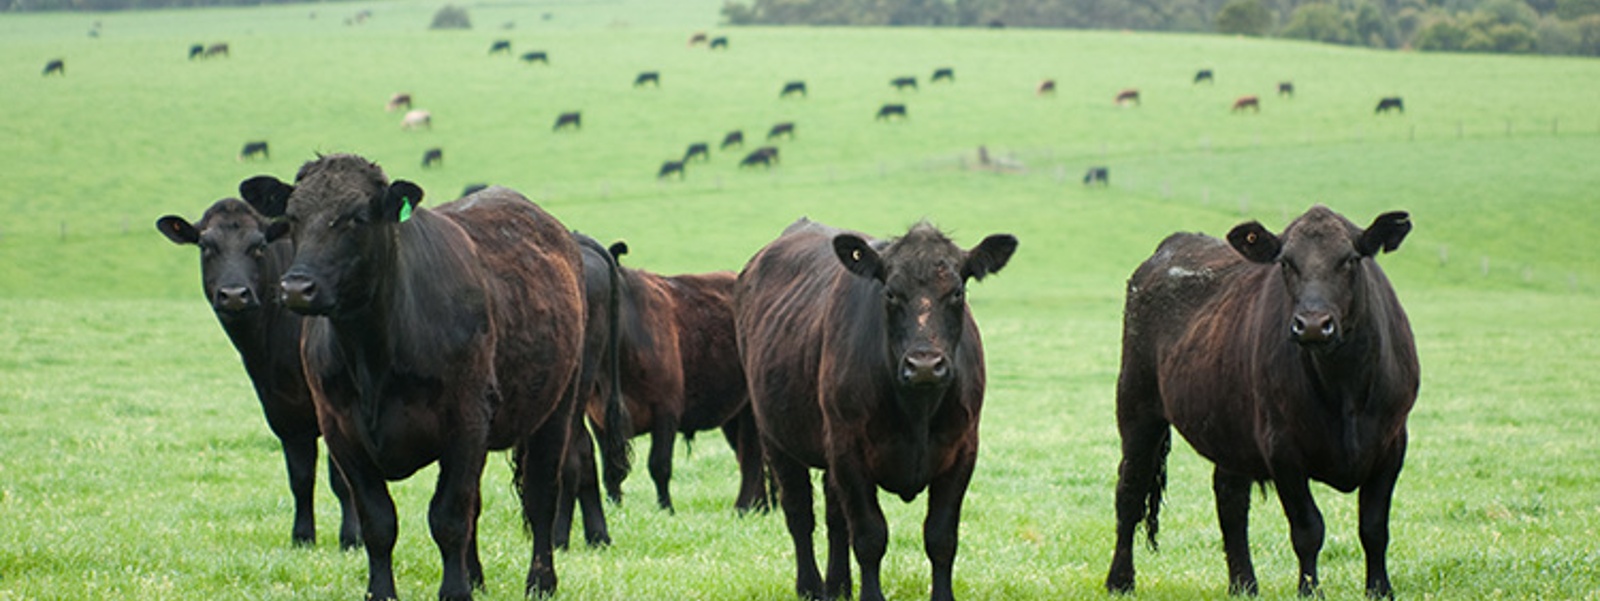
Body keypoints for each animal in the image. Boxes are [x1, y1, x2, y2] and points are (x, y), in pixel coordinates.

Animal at [156, 196, 360, 551]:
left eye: (259, 246)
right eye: (206, 246)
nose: (234, 295)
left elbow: (341, 479)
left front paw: (351, 539)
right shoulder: (282, 409)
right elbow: (300, 477)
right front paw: (302, 537)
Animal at [247, 153, 610, 600]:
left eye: (356, 218)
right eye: (293, 217)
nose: (297, 287)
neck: (372, 356)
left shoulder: (465, 421)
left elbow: (448, 517)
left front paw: (454, 591)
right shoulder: (341, 431)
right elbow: (379, 522)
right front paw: (383, 591)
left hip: (558, 408)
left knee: (542, 496)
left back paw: (541, 581)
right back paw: (477, 576)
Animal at [734, 218, 1017, 601]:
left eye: (957, 292)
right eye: (891, 293)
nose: (924, 365)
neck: (917, 412)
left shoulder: (962, 449)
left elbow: (941, 537)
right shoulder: (849, 451)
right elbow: (869, 535)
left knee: (835, 519)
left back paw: (838, 586)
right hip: (776, 438)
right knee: (800, 515)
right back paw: (810, 587)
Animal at [1105, 206, 1418, 599]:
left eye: (1349, 259)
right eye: (1286, 262)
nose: (1312, 325)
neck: (1343, 389)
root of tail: (1172, 244)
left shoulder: (1392, 444)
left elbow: (1374, 528)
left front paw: (1380, 590)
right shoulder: (1283, 448)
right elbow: (1308, 529)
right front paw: (1309, 591)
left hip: (1228, 426)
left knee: (1230, 499)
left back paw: (1243, 584)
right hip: (1137, 406)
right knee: (1130, 490)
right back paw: (1120, 580)